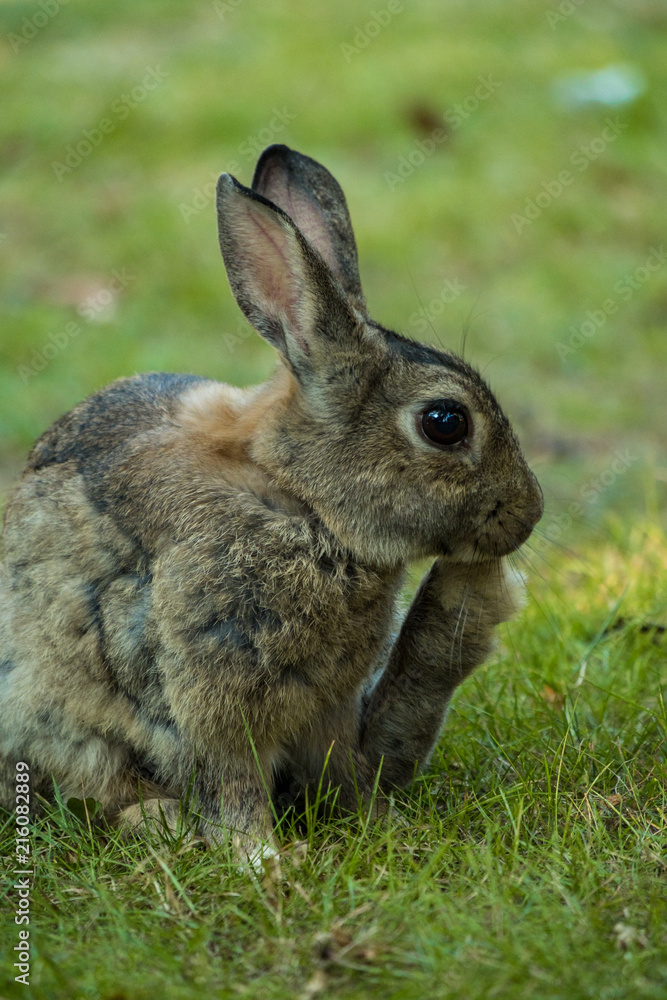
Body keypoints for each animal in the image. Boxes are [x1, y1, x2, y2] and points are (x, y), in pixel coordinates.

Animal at [0, 144, 543, 867]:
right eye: (445, 422)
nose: (529, 514)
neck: (300, 501)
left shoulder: (327, 705)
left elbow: (341, 773)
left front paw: (383, 830)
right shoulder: (215, 692)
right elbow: (232, 782)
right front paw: (264, 861)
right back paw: (157, 819)